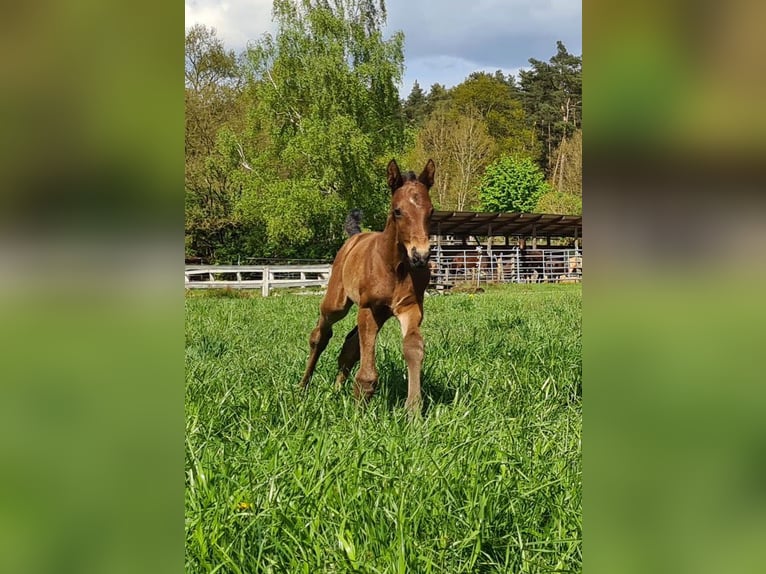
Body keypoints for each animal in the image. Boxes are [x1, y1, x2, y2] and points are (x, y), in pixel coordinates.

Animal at [298, 160, 436, 416]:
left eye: (431, 211)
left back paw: (337, 389)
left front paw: (413, 409)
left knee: (350, 344)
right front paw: (360, 406)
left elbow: (412, 347)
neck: (396, 266)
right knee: (321, 335)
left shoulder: (410, 308)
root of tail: (356, 236)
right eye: (397, 211)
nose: (420, 256)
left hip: (380, 314)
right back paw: (303, 386)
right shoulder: (369, 308)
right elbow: (367, 365)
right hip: (337, 304)